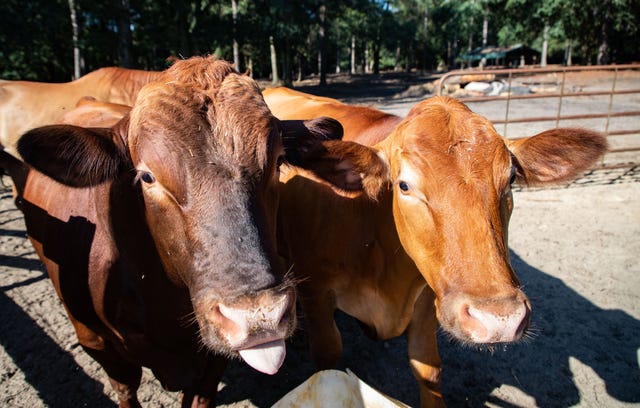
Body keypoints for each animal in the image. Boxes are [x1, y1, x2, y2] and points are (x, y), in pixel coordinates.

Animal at [268, 91, 608, 407]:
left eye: (511, 179)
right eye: (404, 185)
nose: (499, 319)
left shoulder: (427, 300)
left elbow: (428, 369)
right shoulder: (316, 293)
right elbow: (327, 363)